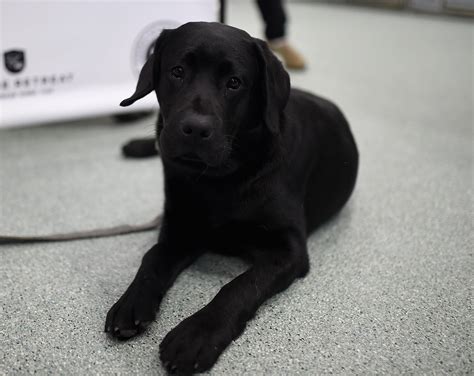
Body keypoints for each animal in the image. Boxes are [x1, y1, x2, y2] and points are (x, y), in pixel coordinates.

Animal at [105, 22, 358, 374]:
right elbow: (152, 258)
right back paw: (135, 145)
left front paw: (197, 335)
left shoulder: (288, 250)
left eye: (234, 83)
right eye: (177, 72)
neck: (221, 178)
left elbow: (238, 287)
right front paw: (131, 302)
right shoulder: (180, 226)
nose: (195, 129)